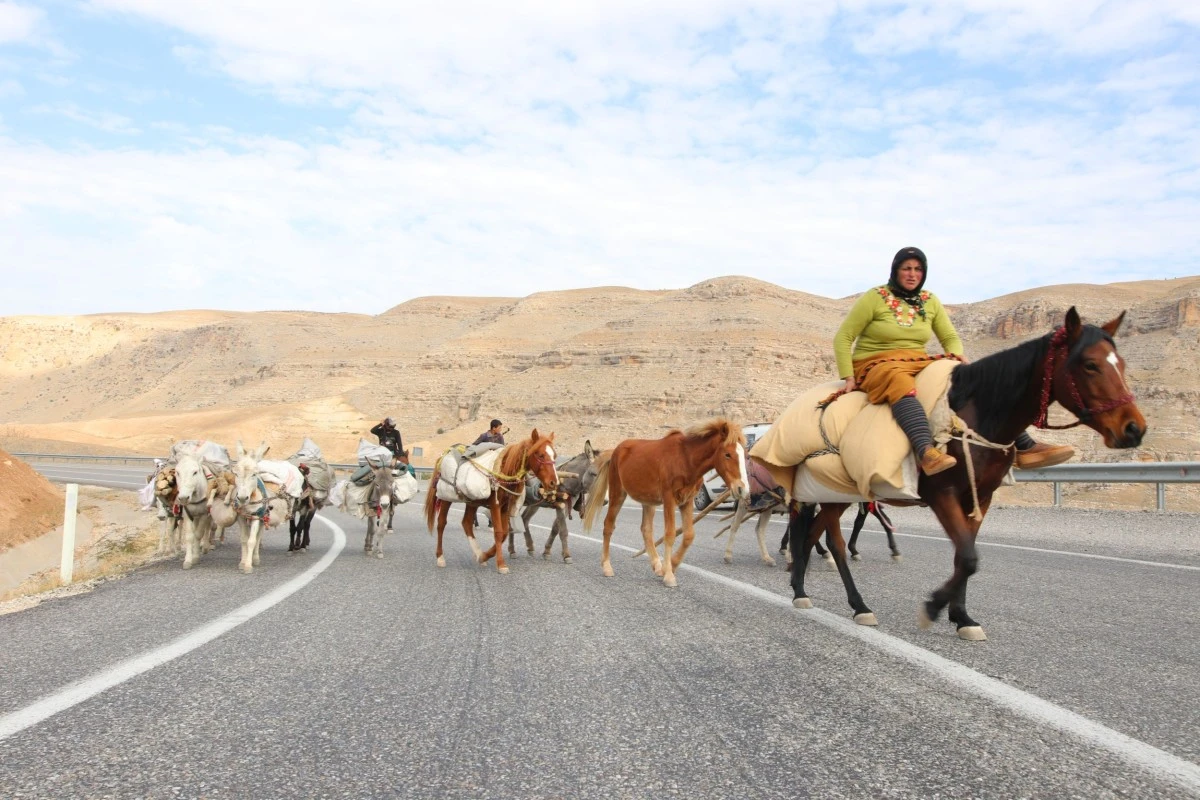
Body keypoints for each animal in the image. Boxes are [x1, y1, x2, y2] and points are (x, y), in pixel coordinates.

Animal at [424, 431, 559, 575]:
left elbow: (504, 533)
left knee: (466, 523)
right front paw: (501, 564)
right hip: (446, 498)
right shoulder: (495, 505)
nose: (553, 482)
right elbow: (498, 532)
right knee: (441, 524)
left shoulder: (505, 507)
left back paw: (479, 554)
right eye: (540, 454)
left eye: (554, 455)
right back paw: (440, 557)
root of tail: (444, 455)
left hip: (472, 501)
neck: (504, 470)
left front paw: (485, 556)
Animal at [583, 419, 748, 587]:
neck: (686, 459)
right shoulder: (669, 499)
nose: (741, 489)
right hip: (618, 494)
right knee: (608, 525)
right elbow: (670, 534)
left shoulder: (687, 501)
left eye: (745, 455)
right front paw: (669, 575)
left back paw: (657, 565)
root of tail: (615, 452)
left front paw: (671, 565)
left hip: (648, 501)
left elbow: (689, 535)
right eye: (727, 454)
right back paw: (607, 567)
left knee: (646, 529)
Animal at [787, 309, 1142, 642]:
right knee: (828, 539)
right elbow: (969, 557)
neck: (978, 415)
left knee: (813, 534)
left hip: (840, 496)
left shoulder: (980, 497)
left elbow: (964, 555)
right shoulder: (942, 495)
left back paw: (804, 587)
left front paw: (962, 617)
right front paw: (932, 608)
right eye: (1090, 365)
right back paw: (848, 602)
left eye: (1122, 364)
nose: (1134, 428)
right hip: (827, 493)